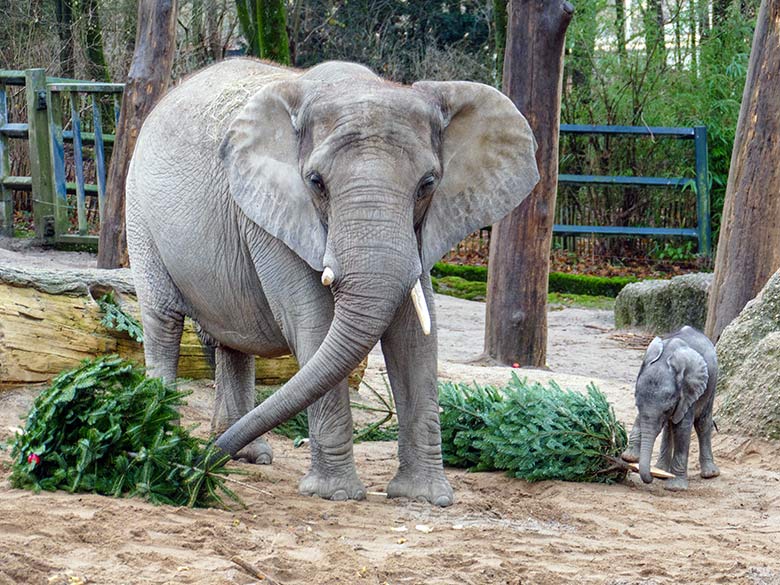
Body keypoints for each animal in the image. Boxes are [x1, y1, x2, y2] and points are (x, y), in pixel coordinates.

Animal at [128, 60, 540, 506]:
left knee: (230, 342)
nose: (198, 466)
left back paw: (243, 454)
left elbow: (415, 336)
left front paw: (426, 499)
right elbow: (314, 322)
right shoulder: (274, 217)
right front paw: (335, 495)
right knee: (163, 322)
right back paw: (163, 437)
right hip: (140, 213)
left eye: (428, 184)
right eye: (315, 182)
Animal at [620, 324, 720, 488]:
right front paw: (629, 457)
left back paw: (710, 474)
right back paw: (661, 471)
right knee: (669, 427)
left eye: (667, 409)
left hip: (712, 384)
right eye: (636, 404)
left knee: (702, 423)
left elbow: (682, 429)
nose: (649, 476)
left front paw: (676, 487)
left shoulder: (688, 391)